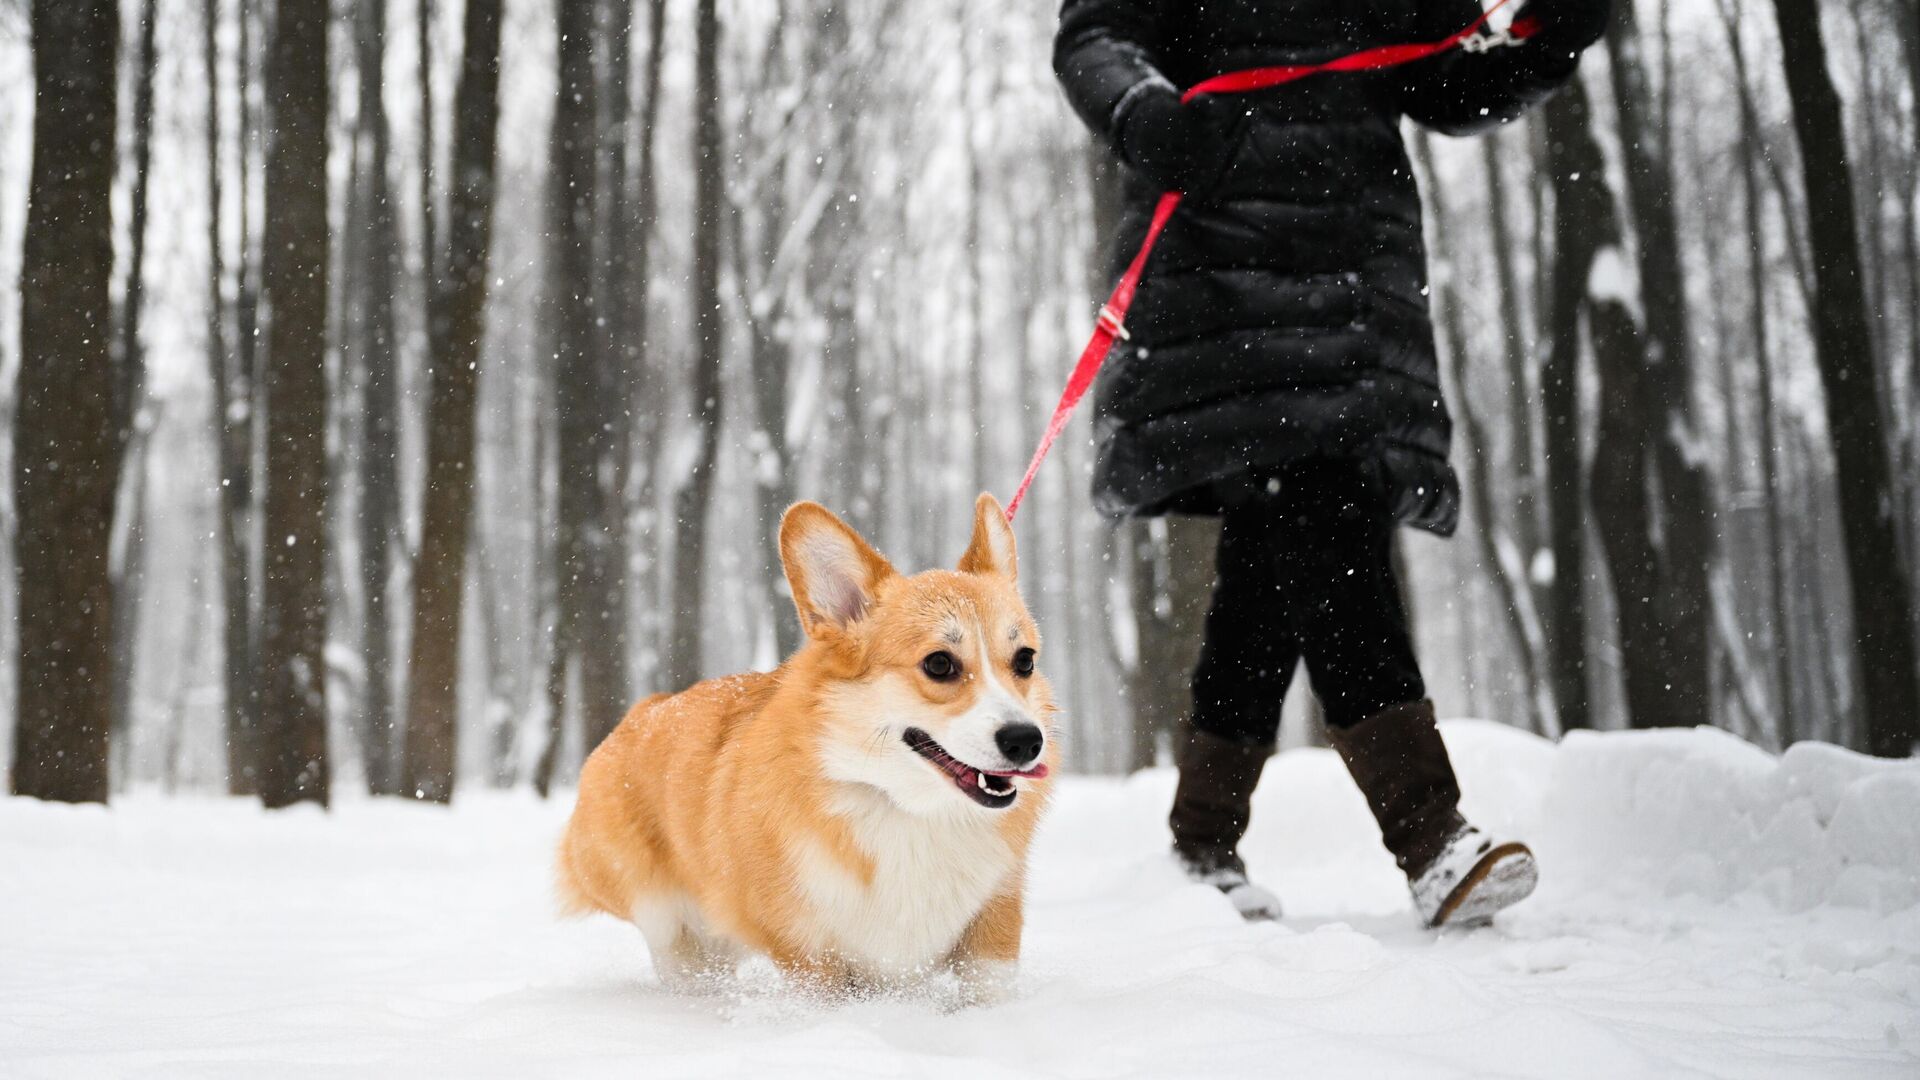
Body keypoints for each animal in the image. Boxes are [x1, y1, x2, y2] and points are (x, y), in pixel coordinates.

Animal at [556, 491, 1067, 999]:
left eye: (1024, 660)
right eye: (939, 664)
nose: (1026, 741)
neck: (905, 809)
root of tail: (643, 711)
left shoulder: (994, 926)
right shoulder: (810, 957)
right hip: (670, 928)